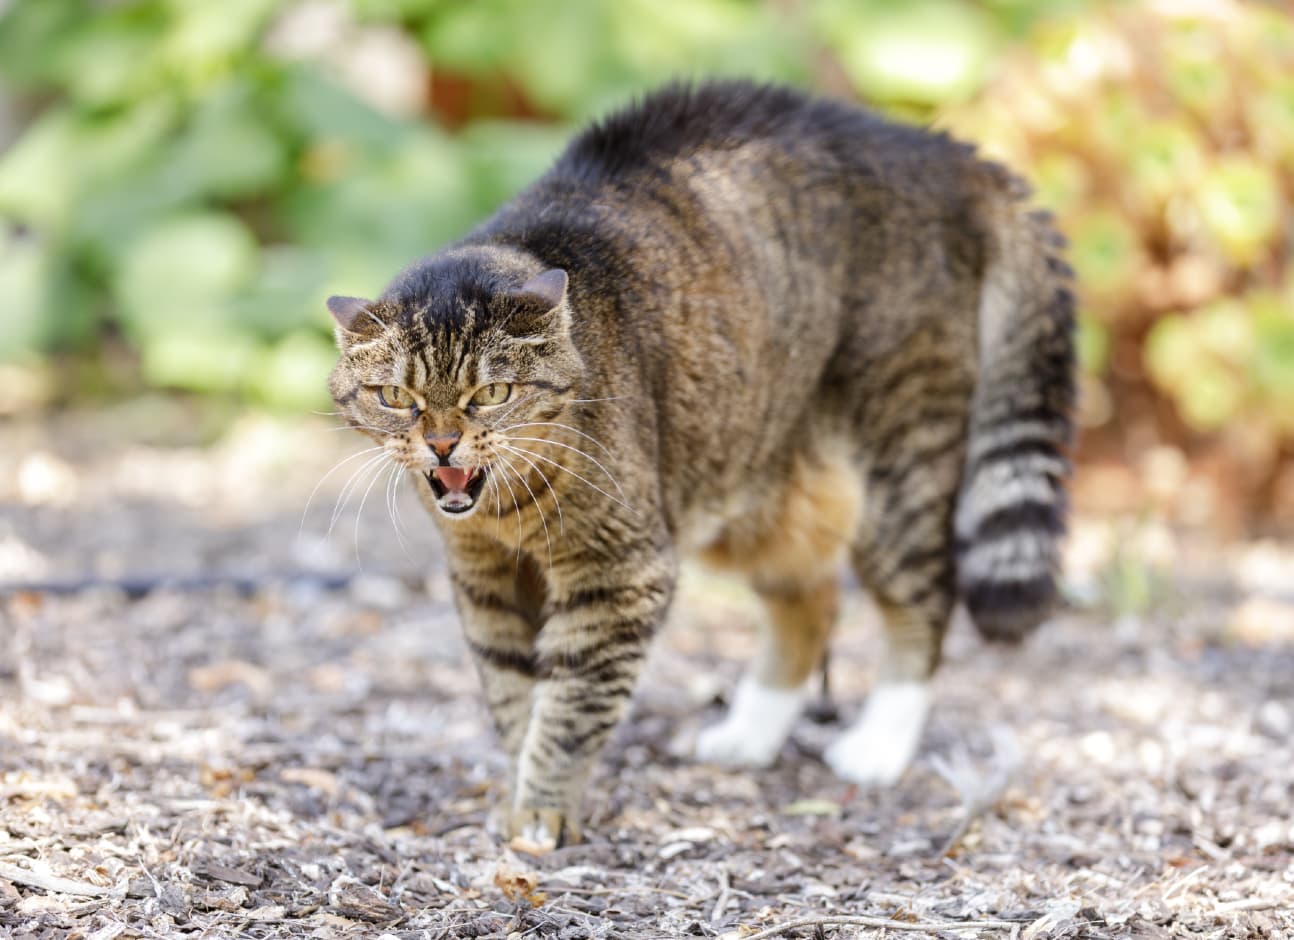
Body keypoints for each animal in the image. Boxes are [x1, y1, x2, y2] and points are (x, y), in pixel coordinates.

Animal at [328, 80, 1076, 854]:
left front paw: (542, 810)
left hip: (900, 465)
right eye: (397, 398)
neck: (509, 511)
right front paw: (515, 792)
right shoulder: (486, 580)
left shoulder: (618, 574)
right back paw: (750, 733)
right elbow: (513, 696)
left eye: (492, 394)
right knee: (812, 601)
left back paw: (880, 744)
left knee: (924, 599)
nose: (443, 444)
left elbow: (567, 709)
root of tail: (944, 152)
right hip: (750, 478)